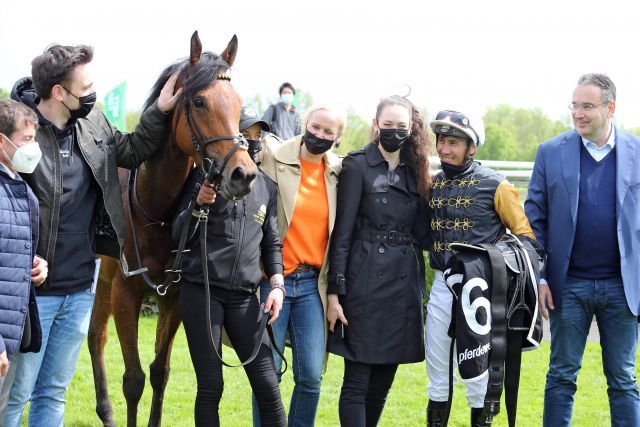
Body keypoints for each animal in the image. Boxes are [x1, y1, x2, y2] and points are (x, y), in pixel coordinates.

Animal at [86, 32, 256, 427]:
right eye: (199, 101)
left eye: (239, 102)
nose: (242, 173)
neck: (157, 211)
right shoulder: (126, 292)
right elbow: (134, 379)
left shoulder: (175, 297)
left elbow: (159, 373)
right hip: (104, 276)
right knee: (96, 337)